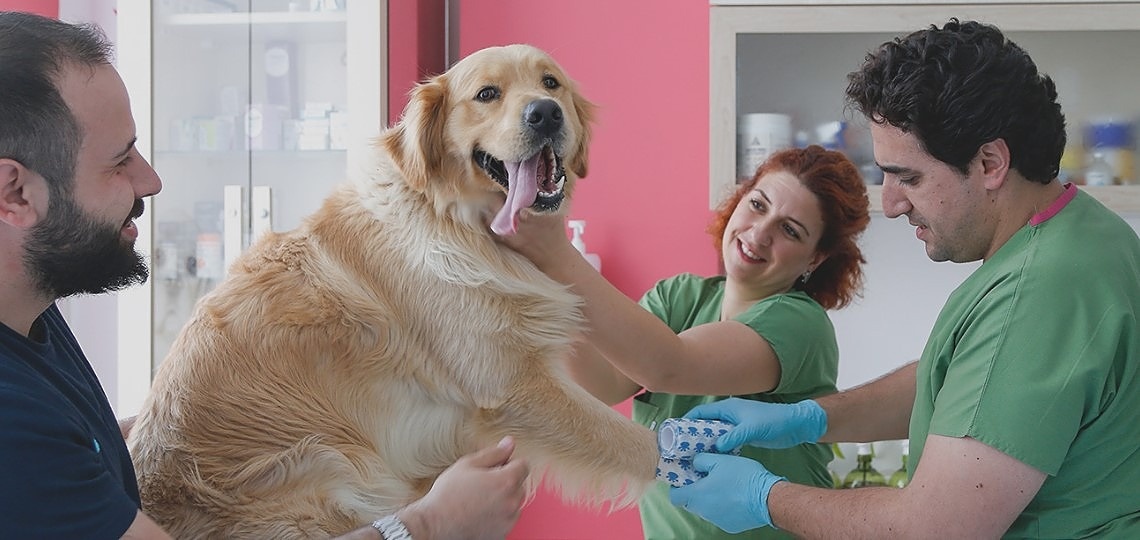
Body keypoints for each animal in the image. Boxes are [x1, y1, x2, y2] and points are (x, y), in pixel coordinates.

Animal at [124, 44, 656, 537]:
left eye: (551, 83)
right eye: (487, 94)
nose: (545, 113)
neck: (453, 218)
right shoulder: (513, 388)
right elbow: (634, 442)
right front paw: (676, 467)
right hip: (338, 474)